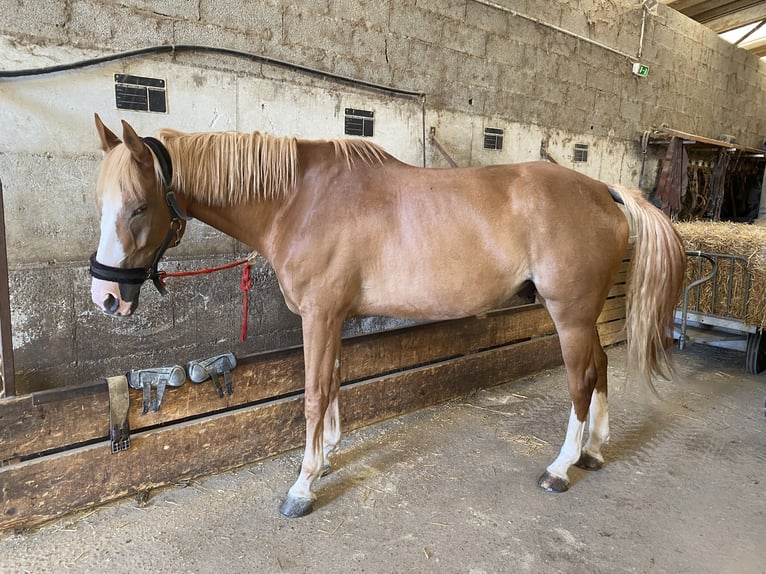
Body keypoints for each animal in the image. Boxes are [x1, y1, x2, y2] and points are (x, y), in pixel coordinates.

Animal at [91, 115, 688, 520]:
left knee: (582, 379)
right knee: (601, 367)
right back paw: (594, 452)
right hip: (585, 317)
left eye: (139, 206)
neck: (297, 201)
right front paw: (327, 455)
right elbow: (333, 382)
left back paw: (561, 467)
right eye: (101, 203)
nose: (106, 298)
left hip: (569, 315)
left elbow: (314, 393)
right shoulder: (332, 317)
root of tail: (604, 189)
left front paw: (303, 485)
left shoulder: (320, 315)